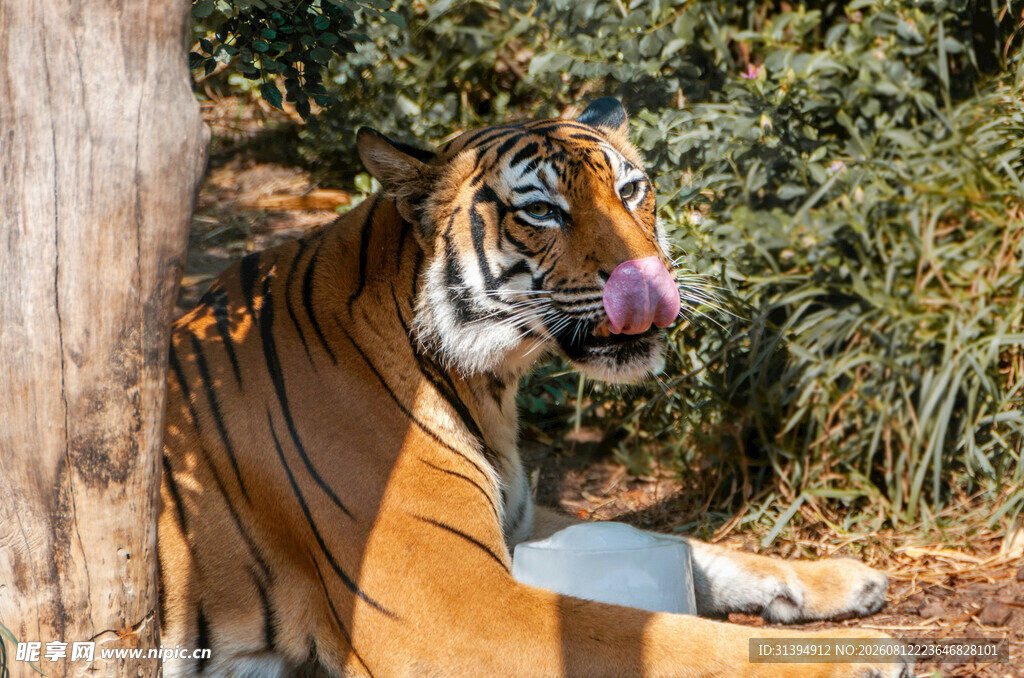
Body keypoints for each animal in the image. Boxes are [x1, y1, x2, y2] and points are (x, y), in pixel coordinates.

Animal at [160, 98, 912, 677]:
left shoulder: (520, 523)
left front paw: (841, 578)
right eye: (544, 211)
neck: (488, 383)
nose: (652, 280)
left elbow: (694, 549)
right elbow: (650, 634)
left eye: (630, 191)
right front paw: (861, 653)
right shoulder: (451, 608)